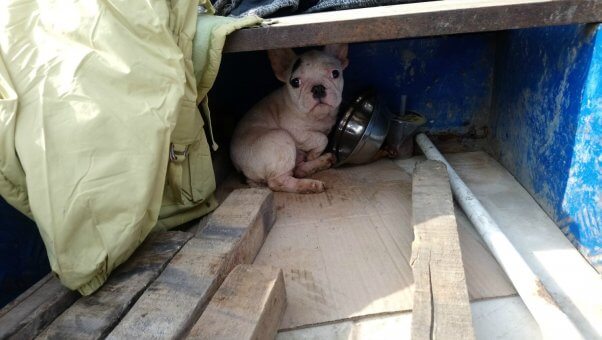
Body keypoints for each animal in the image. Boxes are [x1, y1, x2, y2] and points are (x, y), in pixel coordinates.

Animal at [230, 44, 346, 193]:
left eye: (335, 73)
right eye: (295, 82)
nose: (318, 88)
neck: (318, 116)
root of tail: (240, 169)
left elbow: (323, 135)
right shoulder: (297, 132)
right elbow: (322, 138)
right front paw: (313, 154)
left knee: (298, 169)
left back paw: (322, 162)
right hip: (281, 137)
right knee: (278, 182)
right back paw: (310, 185)